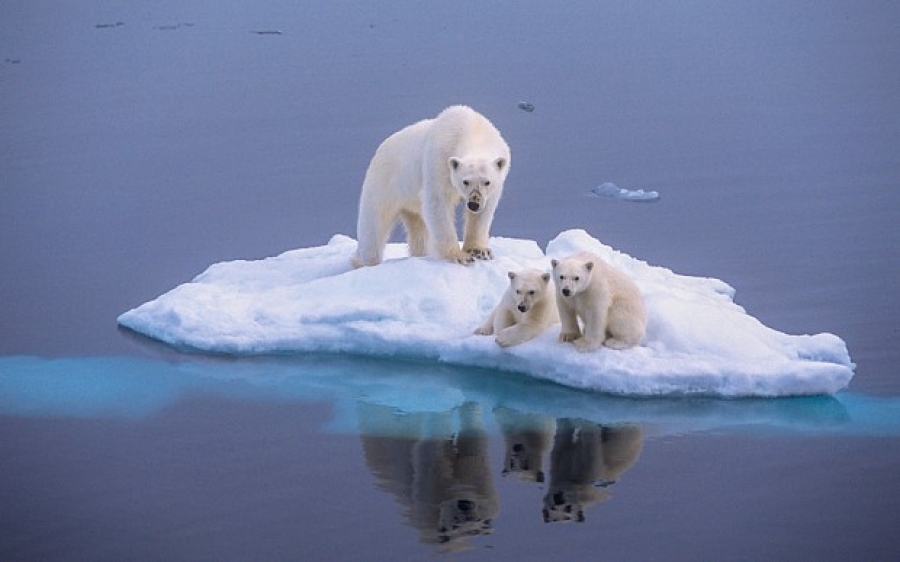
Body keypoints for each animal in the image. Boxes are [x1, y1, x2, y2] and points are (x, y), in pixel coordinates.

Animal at [354, 107, 512, 270]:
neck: (472, 129)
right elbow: (438, 203)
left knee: (418, 228)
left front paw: (480, 251)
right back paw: (363, 262)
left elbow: (483, 213)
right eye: (465, 181)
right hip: (384, 184)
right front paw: (460, 256)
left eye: (487, 182)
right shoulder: (439, 162)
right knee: (374, 225)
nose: (474, 204)